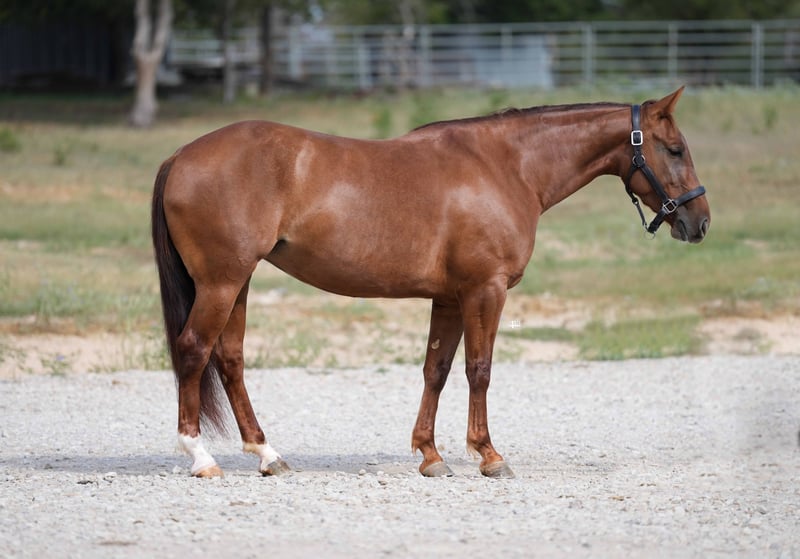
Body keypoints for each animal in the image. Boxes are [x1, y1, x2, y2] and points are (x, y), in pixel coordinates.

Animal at [151, 87, 709, 479]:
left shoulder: (449, 298)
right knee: (194, 349)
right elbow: (479, 370)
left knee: (230, 359)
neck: (505, 167)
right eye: (674, 149)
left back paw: (268, 455)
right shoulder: (485, 290)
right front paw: (488, 455)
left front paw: (430, 455)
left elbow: (435, 371)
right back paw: (201, 457)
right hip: (222, 283)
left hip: (238, 282)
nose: (699, 222)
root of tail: (180, 155)